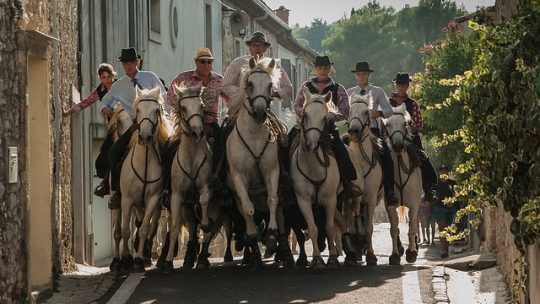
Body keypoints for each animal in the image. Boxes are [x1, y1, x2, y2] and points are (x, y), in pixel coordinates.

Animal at [120, 86, 171, 272]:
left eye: (156, 110)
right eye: (138, 110)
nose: (144, 137)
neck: (145, 163)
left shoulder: (153, 200)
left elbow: (144, 229)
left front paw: (139, 260)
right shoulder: (127, 199)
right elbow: (125, 231)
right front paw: (126, 259)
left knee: (150, 226)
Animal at [160, 84, 213, 274]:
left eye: (201, 106)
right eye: (183, 107)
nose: (198, 131)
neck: (191, 157)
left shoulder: (205, 188)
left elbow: (204, 201)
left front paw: (206, 224)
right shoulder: (177, 196)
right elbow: (175, 227)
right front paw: (168, 263)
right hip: (186, 205)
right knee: (190, 225)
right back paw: (190, 256)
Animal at [226, 56, 282, 268]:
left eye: (270, 85)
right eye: (249, 84)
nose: (259, 113)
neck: (254, 136)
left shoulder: (272, 171)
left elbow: (273, 200)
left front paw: (272, 235)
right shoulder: (238, 177)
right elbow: (248, 208)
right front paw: (252, 236)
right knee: (245, 209)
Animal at [292, 89, 342, 270]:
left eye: (324, 118)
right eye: (305, 114)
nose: (311, 145)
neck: (314, 168)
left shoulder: (331, 200)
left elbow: (329, 227)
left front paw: (332, 258)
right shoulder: (302, 200)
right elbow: (312, 228)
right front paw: (317, 259)